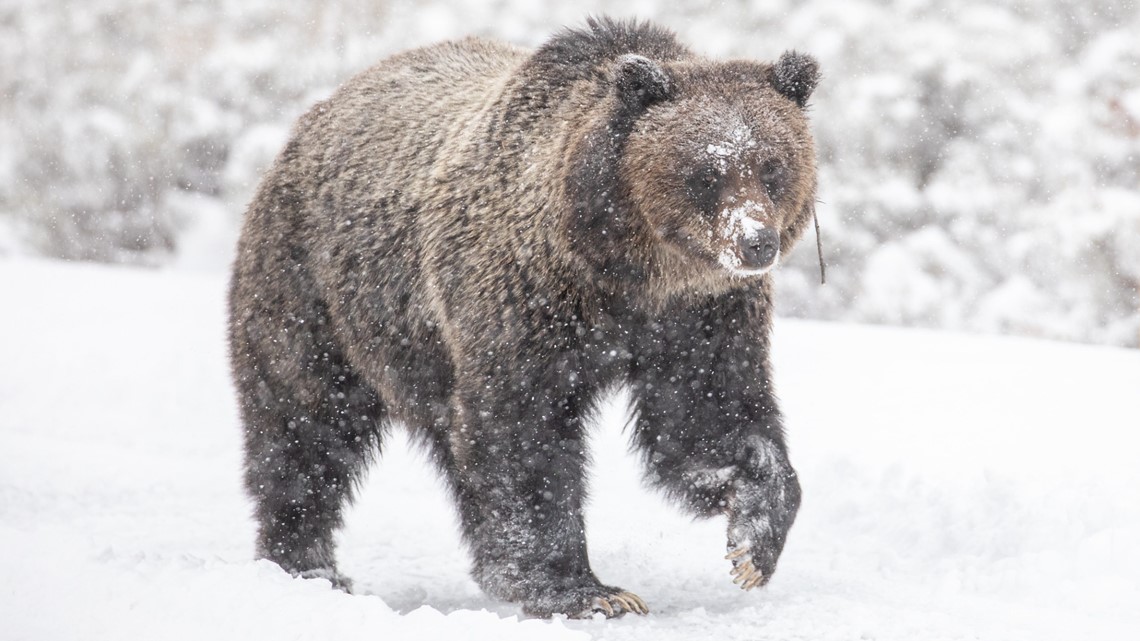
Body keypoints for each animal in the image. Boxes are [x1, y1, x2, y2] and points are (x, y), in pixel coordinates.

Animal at [229, 17, 820, 615]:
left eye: (773, 167)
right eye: (706, 172)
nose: (755, 242)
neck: (627, 274)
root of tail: (315, 115)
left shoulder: (702, 318)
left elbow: (711, 416)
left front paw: (752, 540)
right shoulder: (527, 302)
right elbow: (524, 434)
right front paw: (584, 589)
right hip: (317, 294)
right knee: (305, 427)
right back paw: (307, 565)